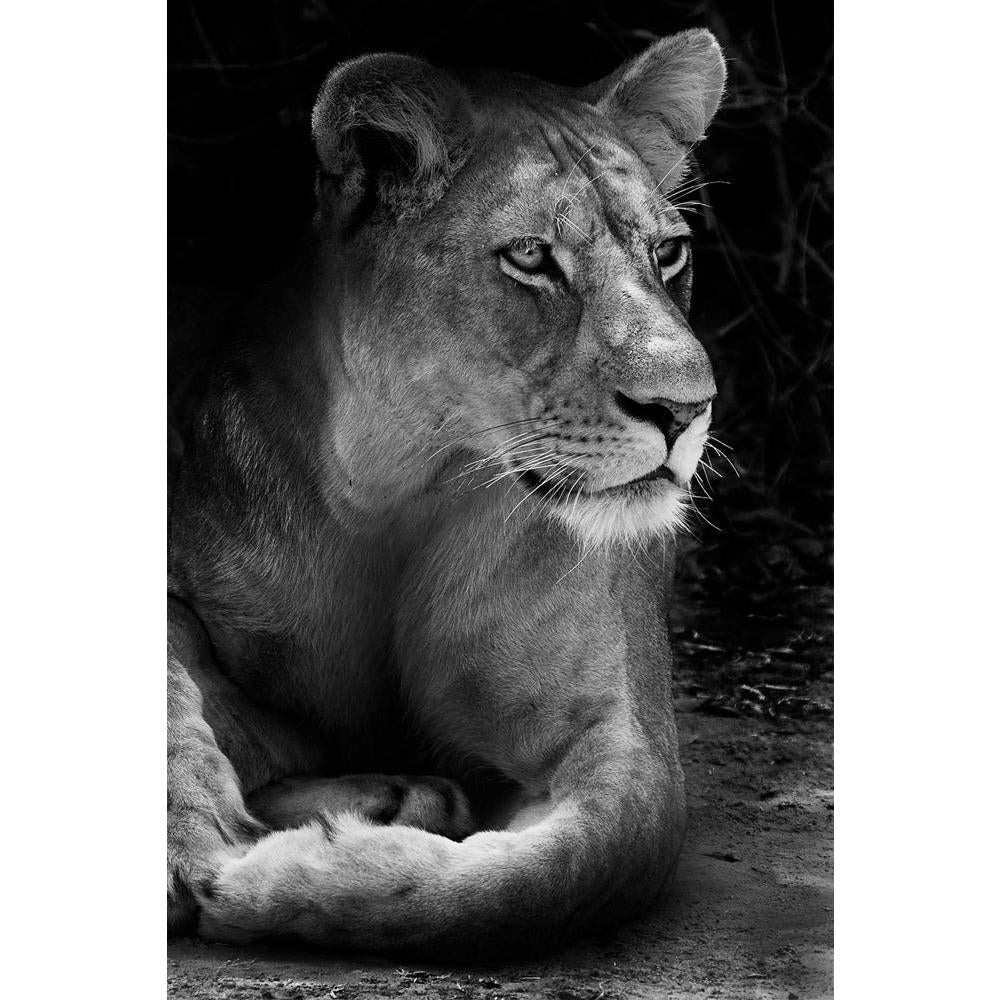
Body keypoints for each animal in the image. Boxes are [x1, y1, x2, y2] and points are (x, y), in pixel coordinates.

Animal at [168, 28, 726, 960]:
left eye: (669, 252)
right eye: (531, 256)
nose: (685, 409)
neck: (400, 491)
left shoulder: (624, 740)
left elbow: (539, 880)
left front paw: (281, 877)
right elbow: (174, 702)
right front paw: (197, 842)